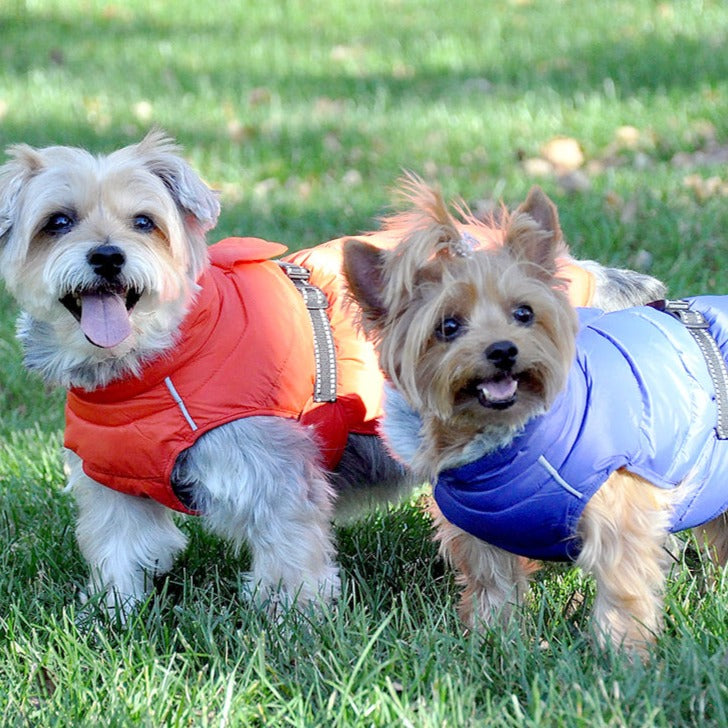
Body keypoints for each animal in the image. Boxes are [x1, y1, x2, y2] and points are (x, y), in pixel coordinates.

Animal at [346, 181, 728, 656]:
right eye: (447, 326)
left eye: (524, 313)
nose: (502, 350)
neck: (507, 444)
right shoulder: (481, 532)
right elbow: (492, 585)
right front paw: (493, 640)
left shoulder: (621, 515)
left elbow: (622, 589)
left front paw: (622, 655)